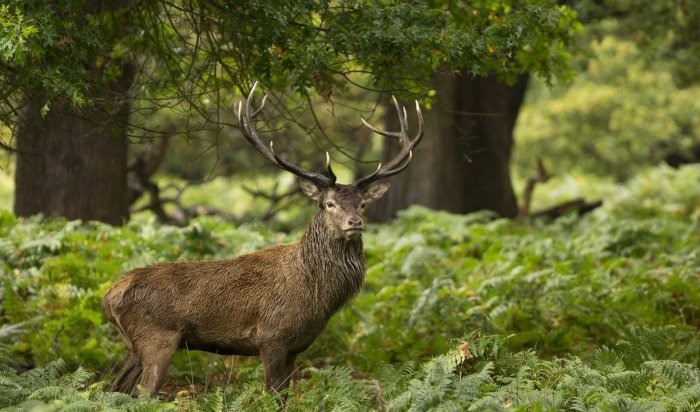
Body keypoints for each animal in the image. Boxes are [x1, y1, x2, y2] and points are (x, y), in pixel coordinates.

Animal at [101, 82, 424, 398]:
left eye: (362, 204)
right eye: (329, 203)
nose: (355, 222)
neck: (317, 294)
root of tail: (109, 296)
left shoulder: (296, 347)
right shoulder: (271, 338)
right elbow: (270, 394)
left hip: (135, 347)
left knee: (115, 389)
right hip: (158, 338)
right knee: (144, 394)